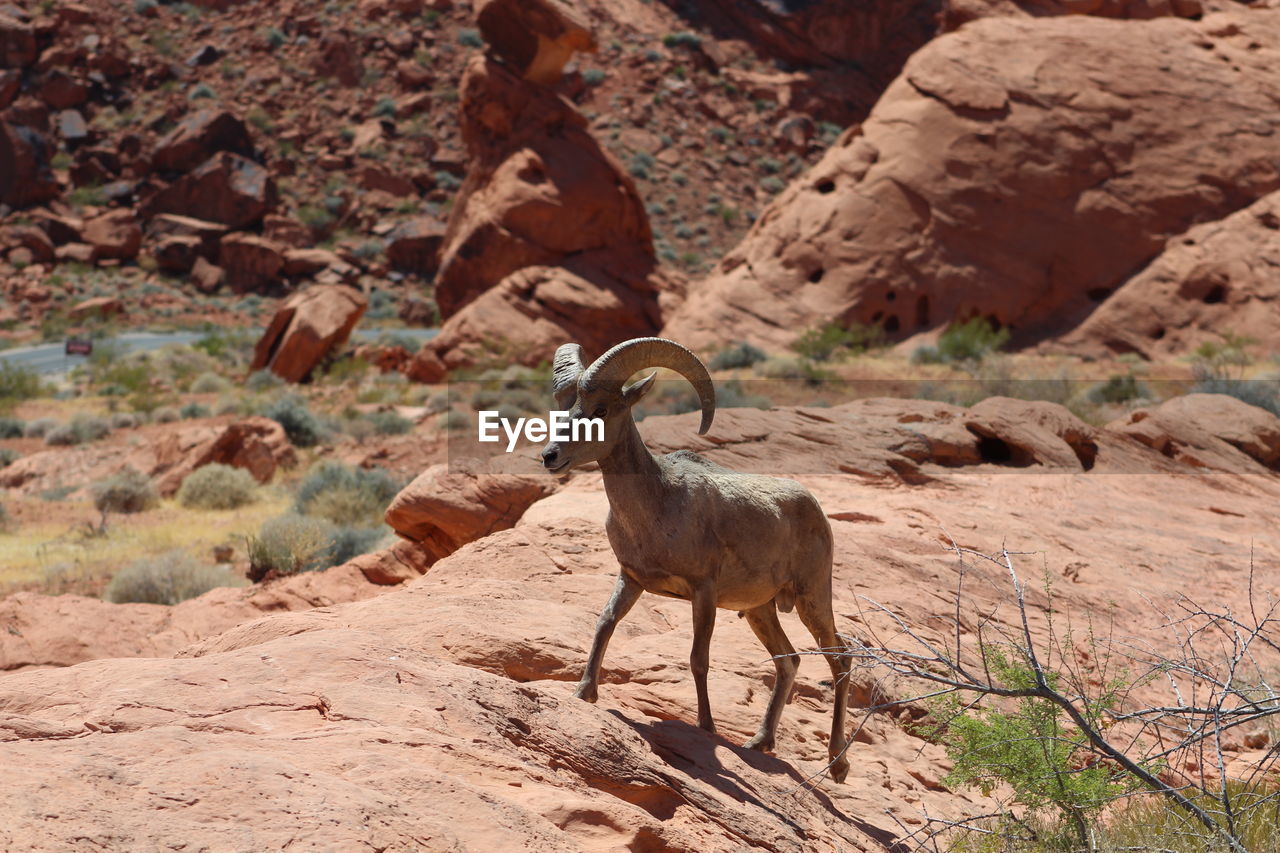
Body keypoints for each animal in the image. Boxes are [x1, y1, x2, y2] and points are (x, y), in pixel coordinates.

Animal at [540, 333, 849, 778]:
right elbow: (604, 625)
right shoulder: (631, 579)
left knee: (840, 660)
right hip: (761, 610)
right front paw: (584, 693)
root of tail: (815, 508)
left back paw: (838, 765)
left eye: (601, 410)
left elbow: (698, 658)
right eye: (562, 410)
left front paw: (706, 726)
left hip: (813, 599)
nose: (550, 456)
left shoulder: (703, 592)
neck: (659, 503)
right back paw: (760, 742)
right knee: (788, 661)